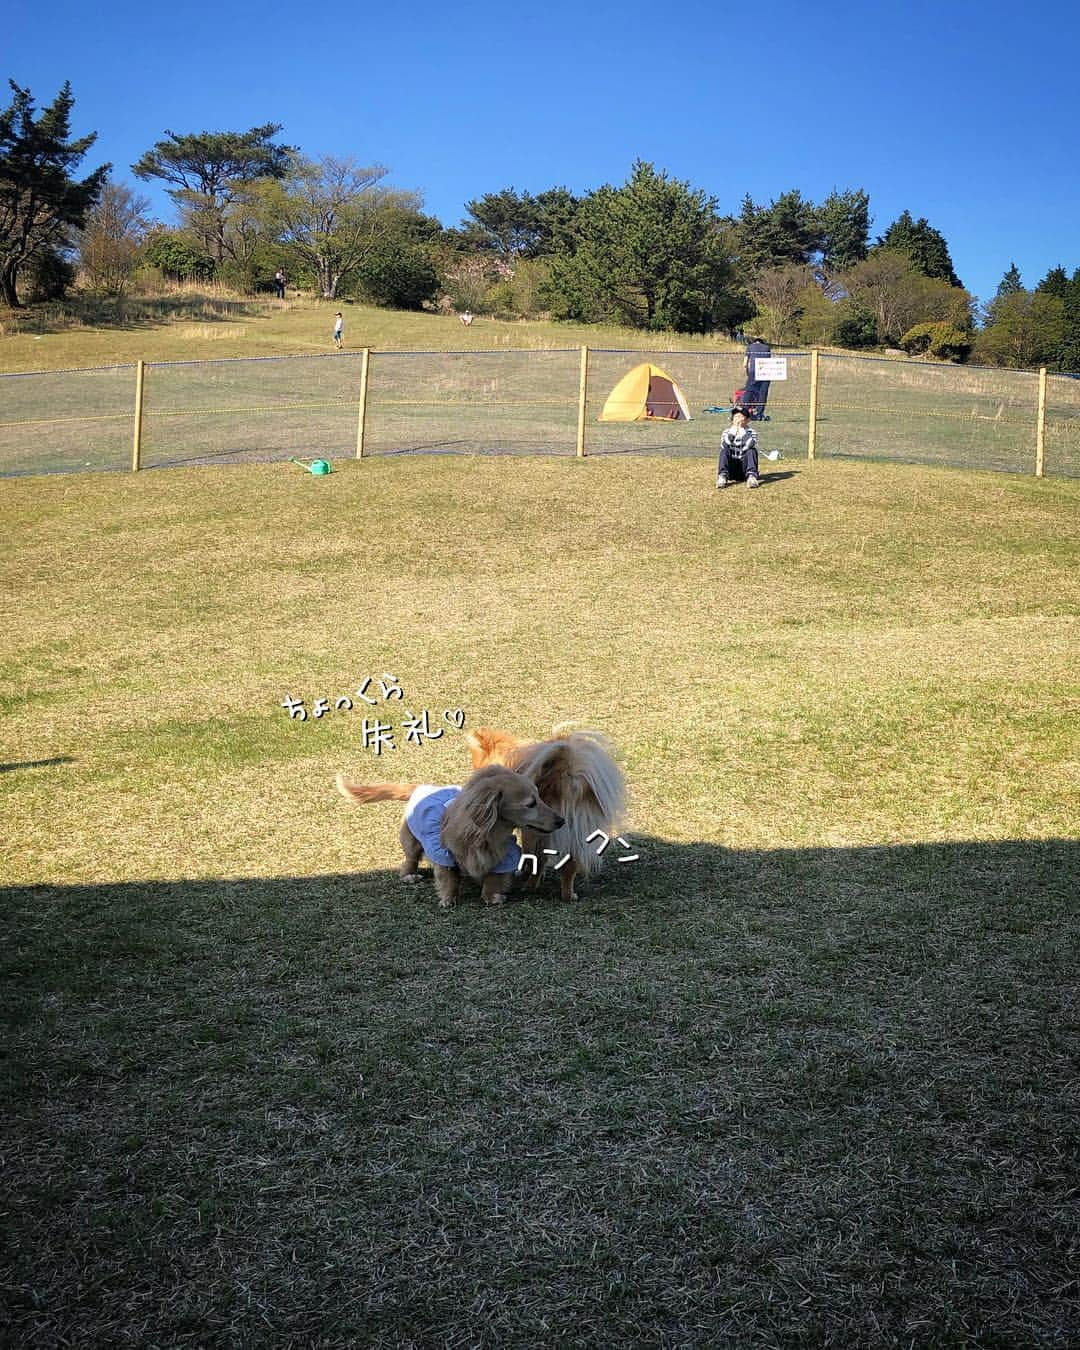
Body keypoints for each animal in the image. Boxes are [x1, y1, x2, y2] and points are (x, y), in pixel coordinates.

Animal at [333, 761, 561, 907]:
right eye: (530, 804)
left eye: (540, 797)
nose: (562, 820)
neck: (490, 834)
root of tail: (421, 787)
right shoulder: (442, 853)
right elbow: (448, 877)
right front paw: (448, 899)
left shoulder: (506, 856)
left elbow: (493, 878)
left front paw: (492, 896)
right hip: (412, 841)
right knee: (410, 859)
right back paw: (409, 875)